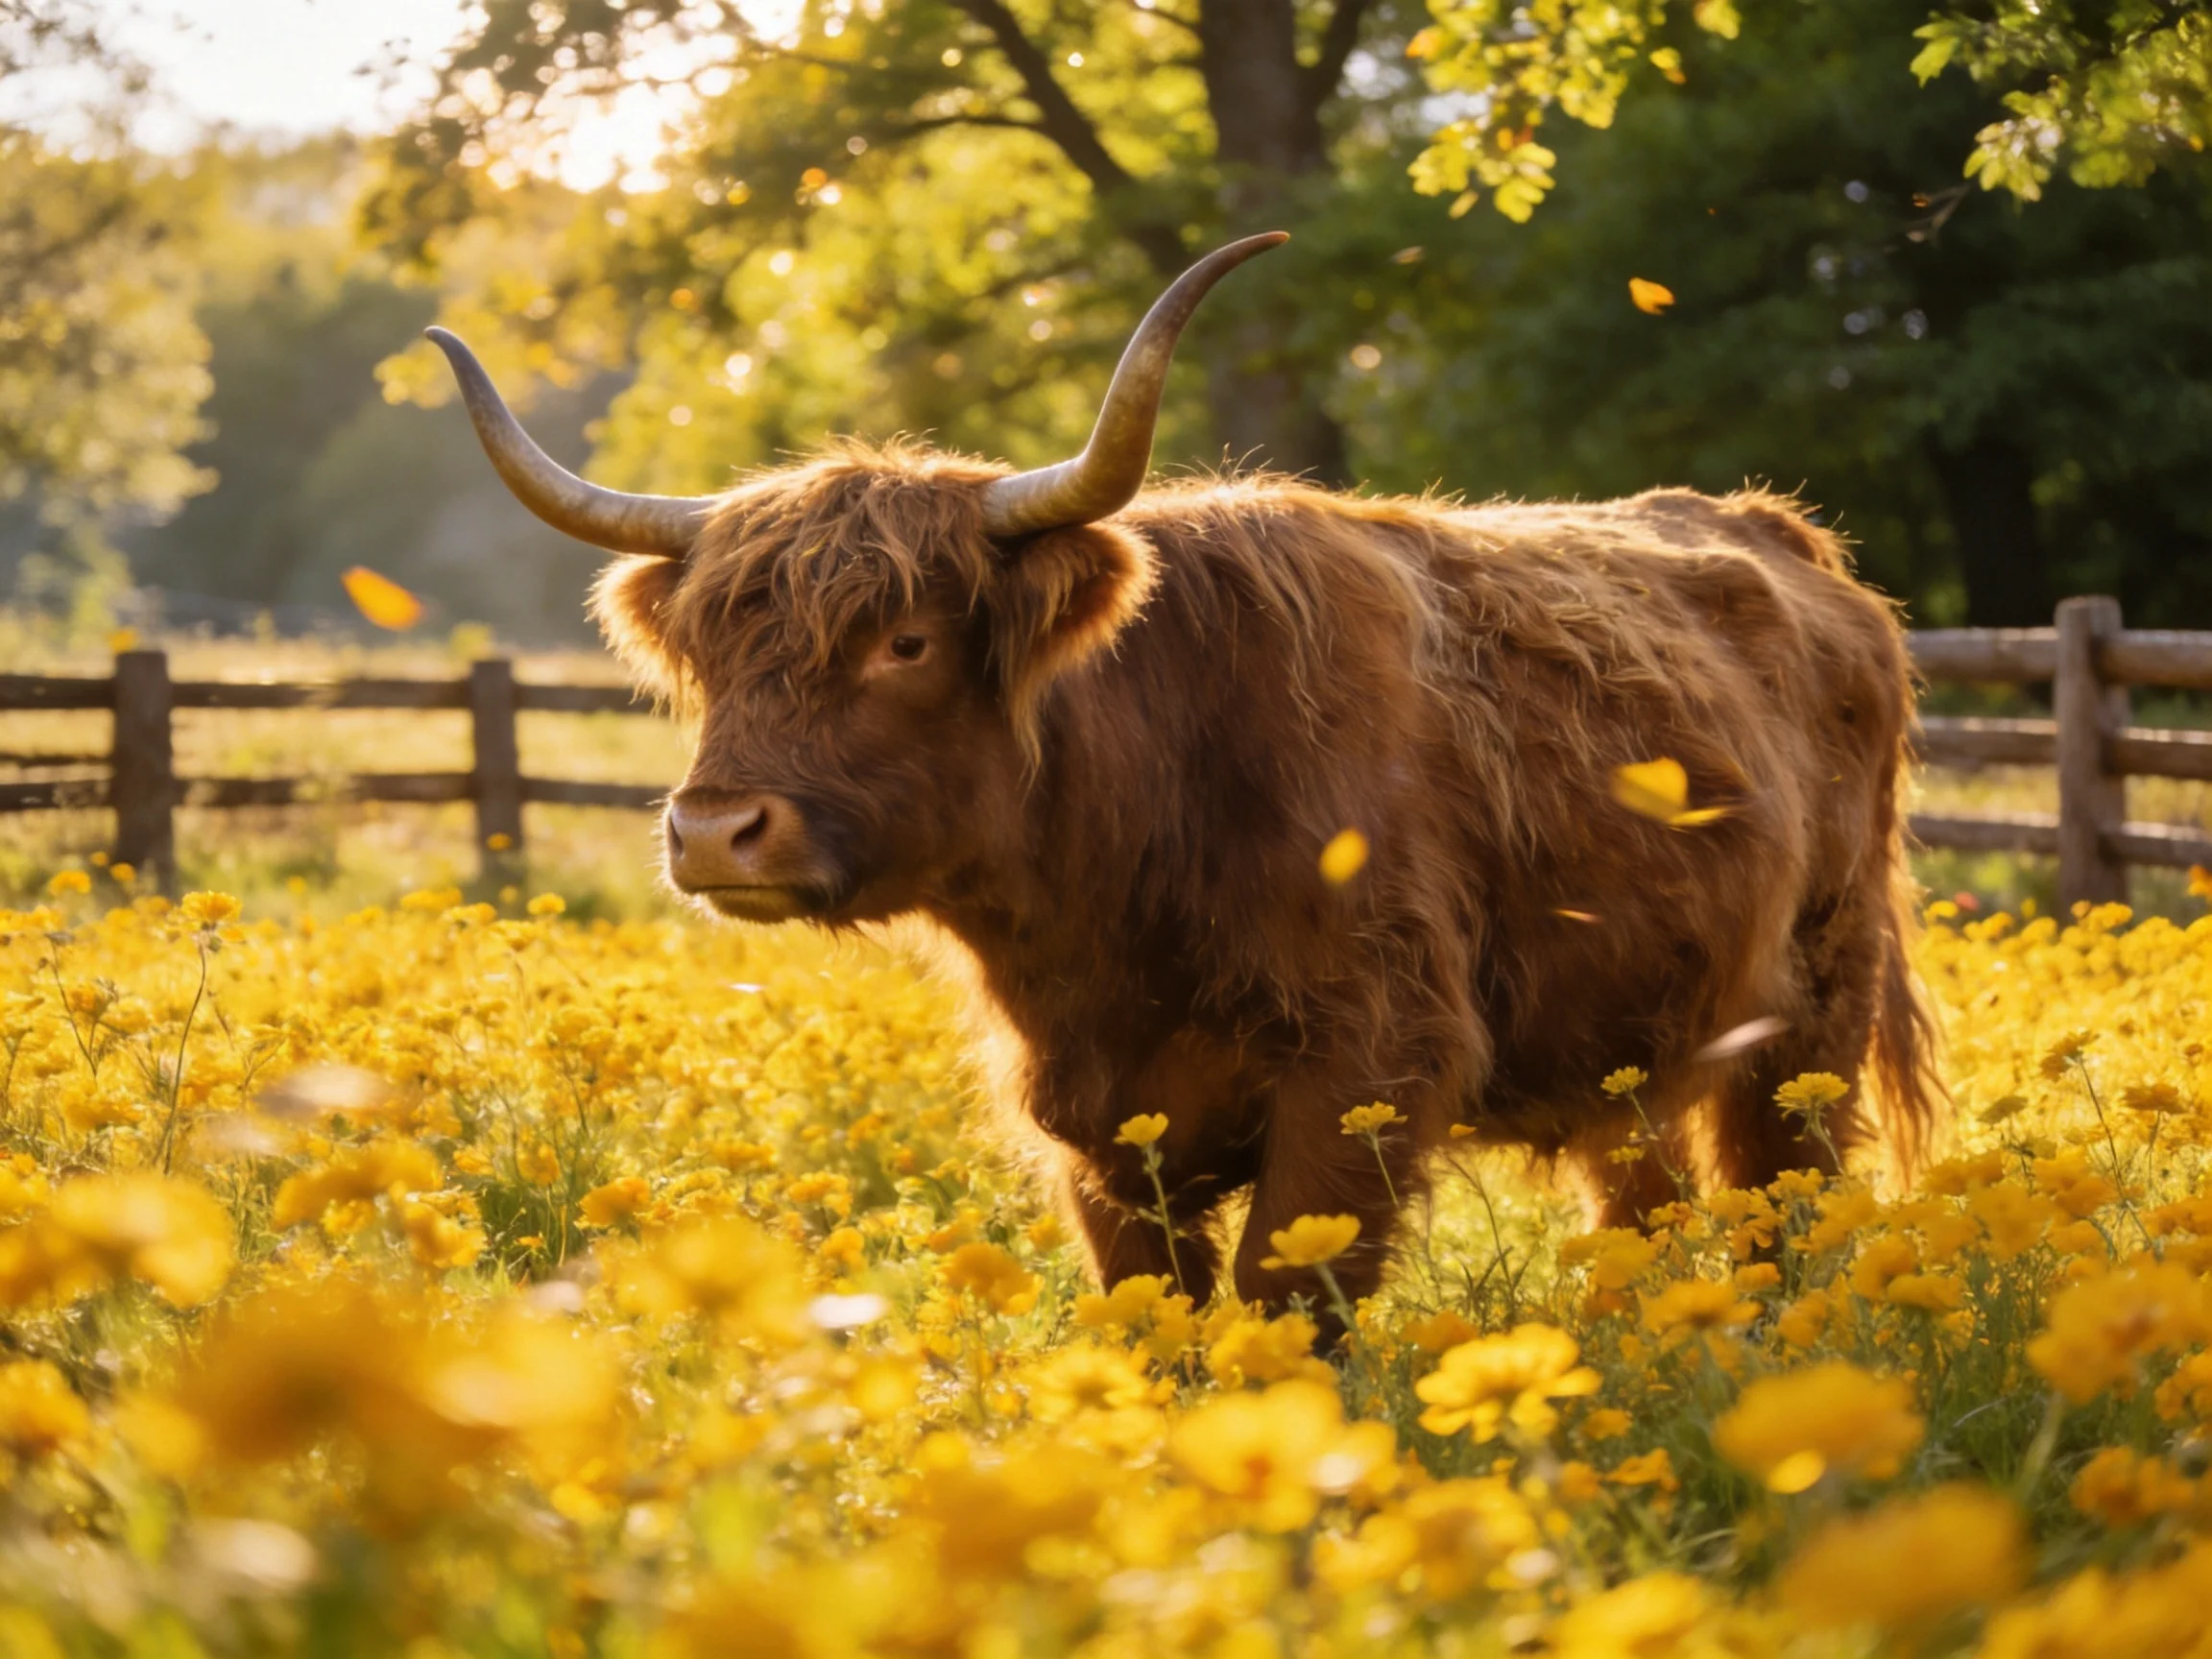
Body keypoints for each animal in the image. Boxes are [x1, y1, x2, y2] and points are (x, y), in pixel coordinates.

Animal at [428, 233, 1939, 1326]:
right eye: (710, 655)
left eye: (906, 640)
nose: (714, 831)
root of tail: (1783, 537)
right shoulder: (1097, 1126)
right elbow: (1155, 1319)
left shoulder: (1367, 1066)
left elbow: (1281, 1312)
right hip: (1639, 1045)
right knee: (1651, 1208)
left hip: (1811, 1015)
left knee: (1779, 1207)